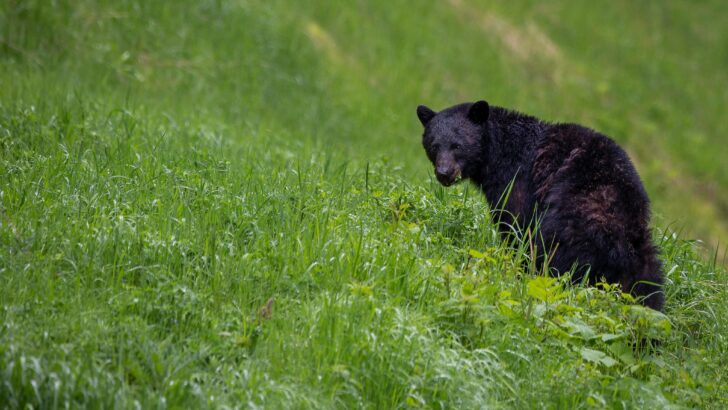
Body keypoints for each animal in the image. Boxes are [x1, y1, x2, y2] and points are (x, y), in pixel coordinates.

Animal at [416, 100, 665, 311]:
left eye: (457, 145)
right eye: (434, 145)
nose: (444, 173)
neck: (497, 152)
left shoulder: (517, 183)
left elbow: (515, 226)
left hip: (569, 223)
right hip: (644, 255)